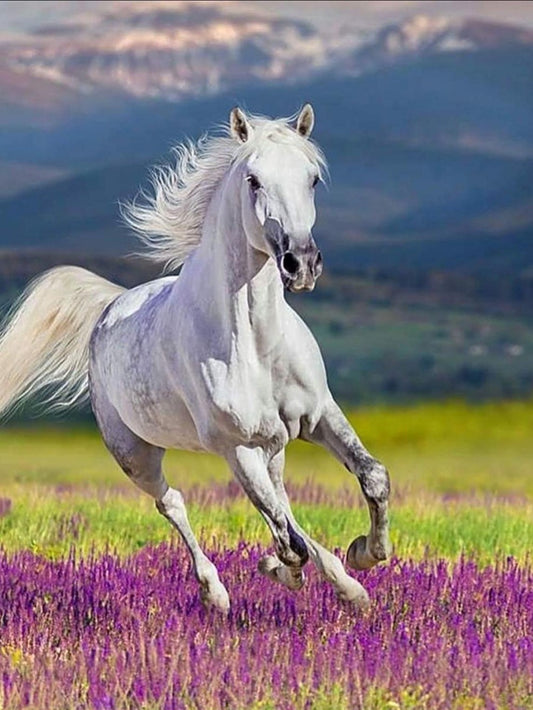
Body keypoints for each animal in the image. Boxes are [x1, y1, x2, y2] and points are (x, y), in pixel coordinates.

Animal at [0, 105, 391, 612]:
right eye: (253, 180)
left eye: (313, 178)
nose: (301, 264)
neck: (257, 344)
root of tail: (111, 306)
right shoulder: (236, 446)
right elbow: (288, 539)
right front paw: (292, 571)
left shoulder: (319, 415)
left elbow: (371, 477)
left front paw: (364, 555)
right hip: (135, 454)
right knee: (174, 502)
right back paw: (216, 592)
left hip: (274, 446)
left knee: (282, 502)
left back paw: (335, 582)